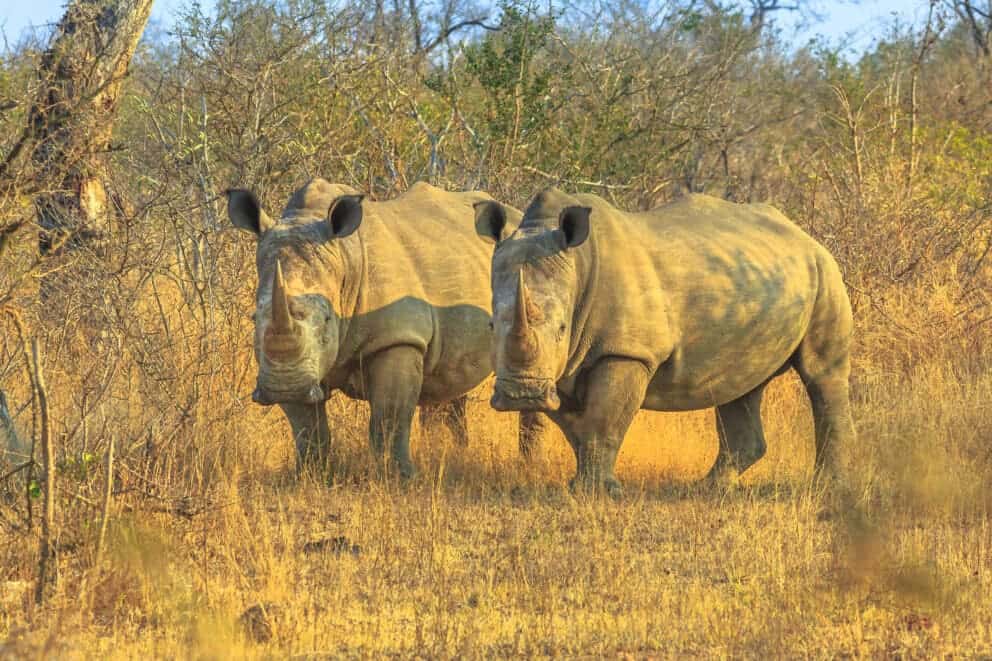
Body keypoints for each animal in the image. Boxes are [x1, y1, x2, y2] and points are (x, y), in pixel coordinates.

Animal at [227, 179, 546, 477]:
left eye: (328, 320)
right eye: (254, 319)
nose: (284, 388)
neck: (344, 257)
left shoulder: (398, 338)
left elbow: (389, 416)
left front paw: (400, 477)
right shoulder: (292, 366)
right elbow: (307, 427)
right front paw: (310, 475)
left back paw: (529, 465)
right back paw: (450, 454)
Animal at [474, 188, 855, 495]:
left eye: (562, 329)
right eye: (491, 325)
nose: (522, 394)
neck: (577, 264)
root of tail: (804, 235)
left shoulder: (626, 351)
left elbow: (603, 420)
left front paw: (599, 492)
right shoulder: (562, 366)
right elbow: (577, 426)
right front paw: (582, 484)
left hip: (825, 272)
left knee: (822, 374)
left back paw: (829, 487)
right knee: (739, 385)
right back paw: (710, 488)